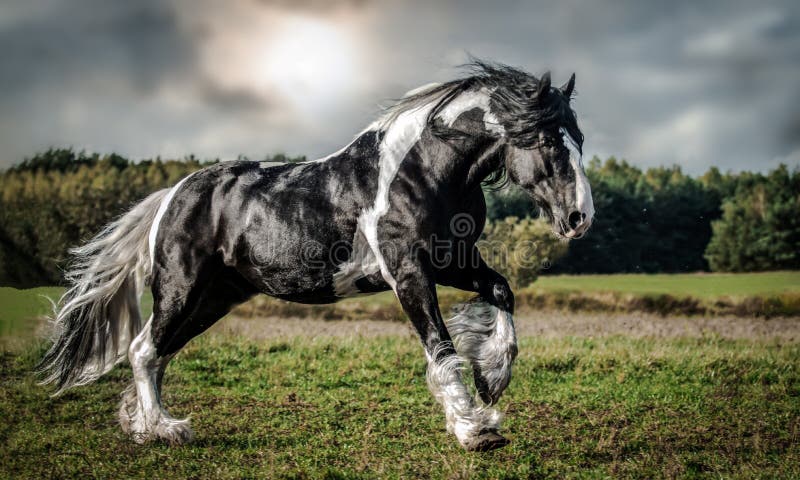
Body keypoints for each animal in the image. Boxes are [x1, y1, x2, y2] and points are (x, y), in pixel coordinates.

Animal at [39, 62, 592, 452]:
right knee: (142, 350)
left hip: (216, 298)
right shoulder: (409, 272)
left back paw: (145, 428)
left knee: (156, 354)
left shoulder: (452, 260)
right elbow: (440, 347)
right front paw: (475, 430)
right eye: (546, 140)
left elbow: (502, 290)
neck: (424, 171)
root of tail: (171, 196)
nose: (579, 216)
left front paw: (492, 379)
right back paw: (164, 430)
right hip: (182, 290)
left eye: (579, 139)